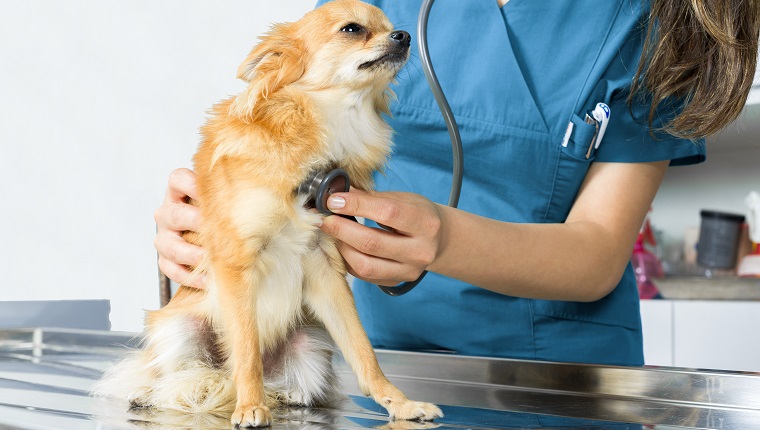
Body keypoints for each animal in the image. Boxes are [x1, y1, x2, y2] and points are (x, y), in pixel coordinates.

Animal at [93, 0, 442, 426]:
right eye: (352, 29)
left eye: (392, 27)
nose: (404, 36)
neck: (328, 126)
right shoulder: (235, 261)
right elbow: (245, 349)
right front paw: (249, 406)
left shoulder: (325, 265)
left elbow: (363, 350)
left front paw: (400, 403)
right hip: (179, 326)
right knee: (174, 374)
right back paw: (155, 393)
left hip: (309, 341)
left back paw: (286, 397)